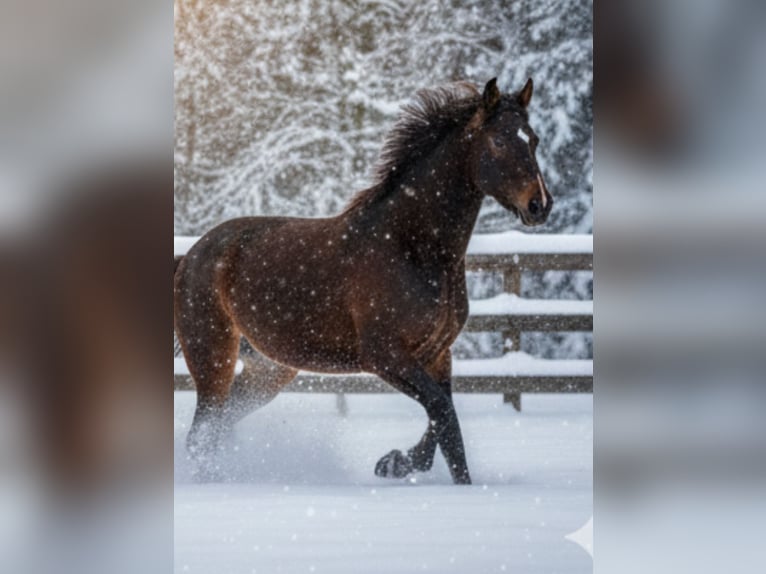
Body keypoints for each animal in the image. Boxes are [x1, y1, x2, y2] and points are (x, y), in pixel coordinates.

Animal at [174, 77, 552, 484]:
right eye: (498, 141)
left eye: (533, 139)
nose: (540, 204)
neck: (411, 247)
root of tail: (192, 255)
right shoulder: (384, 356)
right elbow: (442, 413)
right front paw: (396, 463)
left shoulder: (438, 354)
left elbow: (443, 423)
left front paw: (402, 464)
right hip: (214, 357)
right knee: (202, 432)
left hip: (269, 370)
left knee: (220, 426)